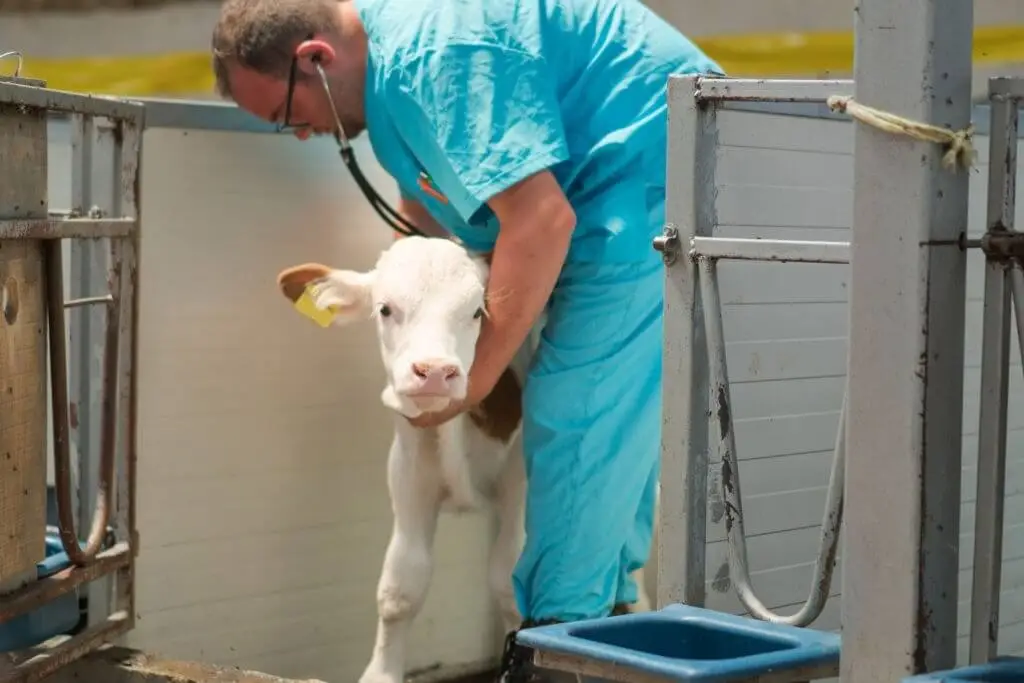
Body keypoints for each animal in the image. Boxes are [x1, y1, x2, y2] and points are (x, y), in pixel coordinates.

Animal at [276, 236, 651, 683]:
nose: (435, 371)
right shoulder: (408, 476)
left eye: (476, 312)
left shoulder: (521, 485)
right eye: (385, 309)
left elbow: (509, 582)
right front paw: (382, 672)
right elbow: (401, 586)